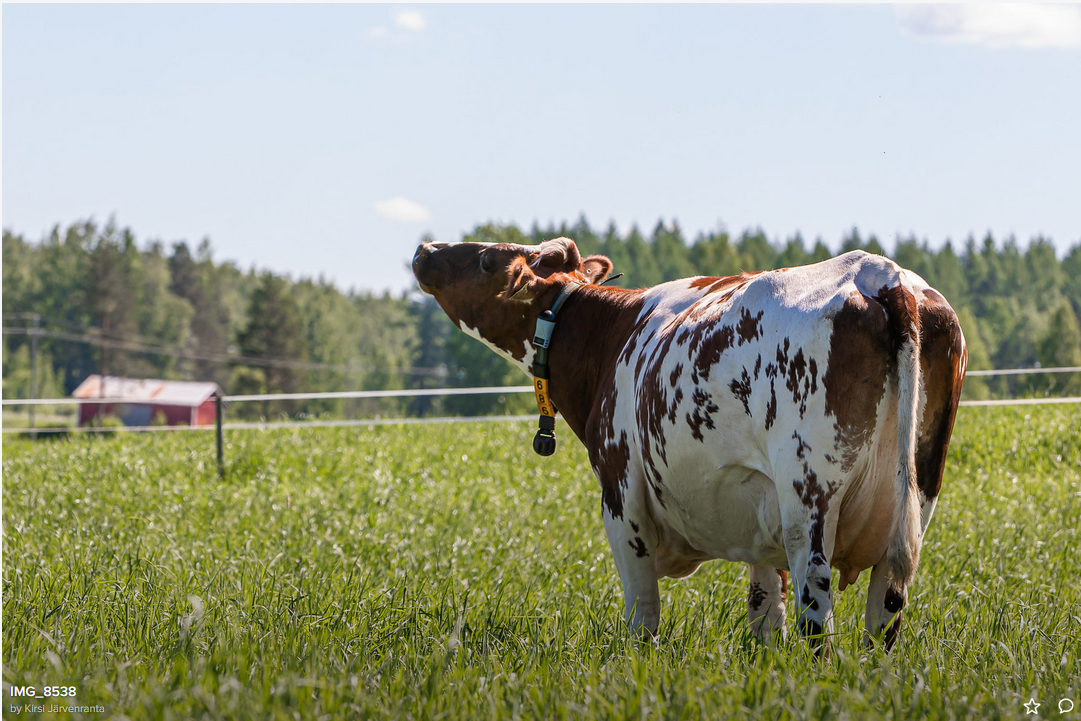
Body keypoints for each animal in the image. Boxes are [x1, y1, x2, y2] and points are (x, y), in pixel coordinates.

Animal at [408, 237, 968, 652]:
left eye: (486, 259)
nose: (424, 249)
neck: (611, 335)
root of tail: (879, 273)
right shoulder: (758, 509)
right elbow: (766, 613)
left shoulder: (622, 496)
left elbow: (643, 616)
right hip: (912, 500)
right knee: (884, 619)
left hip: (809, 502)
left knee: (819, 624)